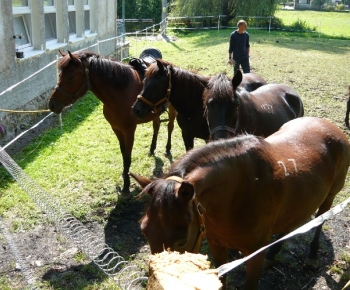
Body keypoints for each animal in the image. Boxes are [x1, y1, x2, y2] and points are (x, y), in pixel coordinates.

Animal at [47, 50, 176, 199]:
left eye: (70, 77)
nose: (52, 104)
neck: (121, 93)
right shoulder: (116, 129)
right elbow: (123, 153)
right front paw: (124, 175)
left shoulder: (129, 131)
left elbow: (127, 157)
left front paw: (126, 187)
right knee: (156, 126)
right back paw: (152, 148)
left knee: (170, 127)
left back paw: (168, 148)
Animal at [131, 58, 266, 150]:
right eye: (144, 81)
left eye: (156, 85)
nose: (135, 109)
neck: (195, 109)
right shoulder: (187, 136)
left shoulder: (208, 138)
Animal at [131, 116, 350, 288]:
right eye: (144, 231)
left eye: (181, 241)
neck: (238, 194)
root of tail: (332, 127)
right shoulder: (217, 245)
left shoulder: (254, 255)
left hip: (329, 198)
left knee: (320, 222)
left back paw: (312, 256)